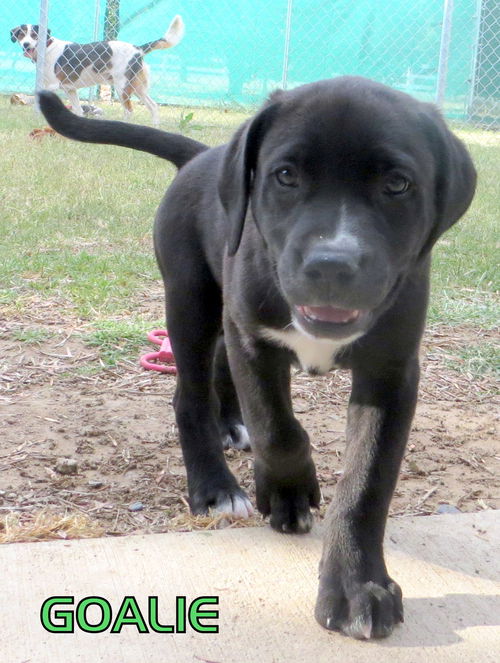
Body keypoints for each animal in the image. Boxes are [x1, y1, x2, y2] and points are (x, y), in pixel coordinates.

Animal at [10, 16, 184, 126]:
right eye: (21, 35)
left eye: (34, 35)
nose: (26, 44)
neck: (46, 47)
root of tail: (138, 49)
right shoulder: (70, 89)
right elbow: (78, 110)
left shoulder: (52, 85)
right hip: (137, 88)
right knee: (153, 106)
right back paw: (155, 126)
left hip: (122, 88)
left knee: (129, 110)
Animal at [38, 76, 476, 640]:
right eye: (285, 175)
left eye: (398, 184)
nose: (331, 264)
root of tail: (203, 156)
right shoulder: (255, 338)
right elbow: (278, 430)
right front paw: (289, 492)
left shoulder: (391, 371)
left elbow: (366, 482)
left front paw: (358, 585)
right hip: (191, 301)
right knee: (190, 396)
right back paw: (215, 487)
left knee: (222, 374)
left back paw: (230, 425)